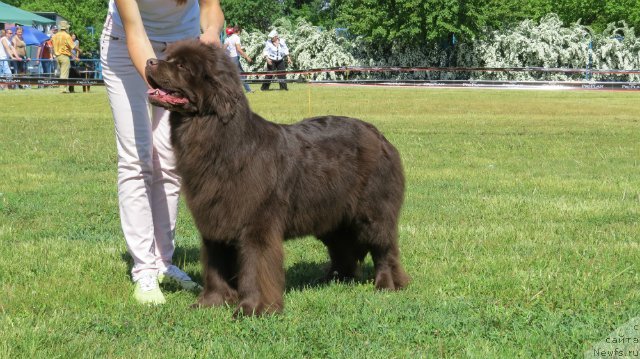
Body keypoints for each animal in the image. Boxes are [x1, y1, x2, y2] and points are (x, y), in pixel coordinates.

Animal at [145, 38, 408, 316]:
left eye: (182, 66)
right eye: (167, 58)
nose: (149, 61)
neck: (222, 142)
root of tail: (379, 135)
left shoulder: (256, 224)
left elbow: (256, 267)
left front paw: (253, 308)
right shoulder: (215, 219)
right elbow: (215, 265)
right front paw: (211, 302)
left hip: (373, 211)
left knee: (383, 249)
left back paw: (387, 285)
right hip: (331, 212)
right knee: (342, 247)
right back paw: (335, 278)